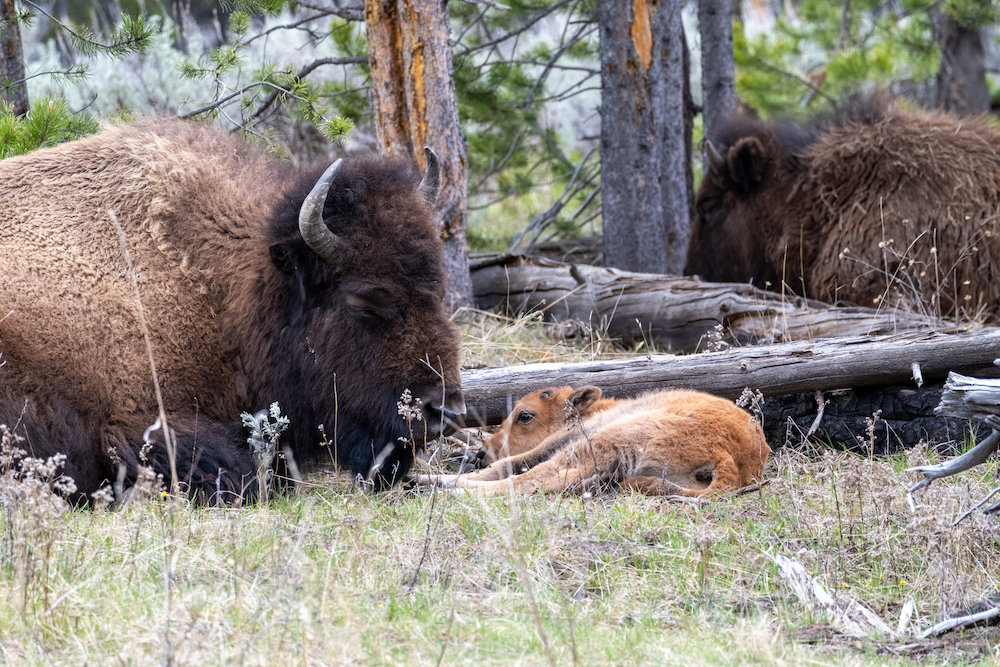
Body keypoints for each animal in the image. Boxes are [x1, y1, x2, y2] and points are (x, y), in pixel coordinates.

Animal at [421, 387, 769, 497]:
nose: (484, 450)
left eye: (525, 415)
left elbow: (513, 465)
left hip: (609, 438)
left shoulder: (569, 440)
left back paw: (442, 486)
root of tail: (731, 457)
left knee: (537, 479)